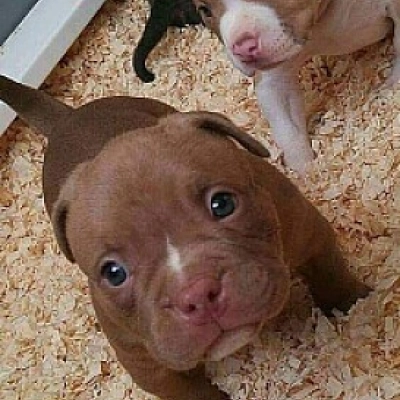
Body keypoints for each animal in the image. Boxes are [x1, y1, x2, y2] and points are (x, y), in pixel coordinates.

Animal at [0, 75, 370, 400]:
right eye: (113, 272)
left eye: (222, 204)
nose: (196, 294)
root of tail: (67, 118)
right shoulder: (148, 365)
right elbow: (192, 392)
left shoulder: (309, 231)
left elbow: (331, 276)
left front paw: (358, 304)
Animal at [192, 0, 400, 174]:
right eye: (205, 10)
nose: (243, 47)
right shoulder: (274, 80)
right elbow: (288, 130)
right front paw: (307, 173)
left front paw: (391, 90)